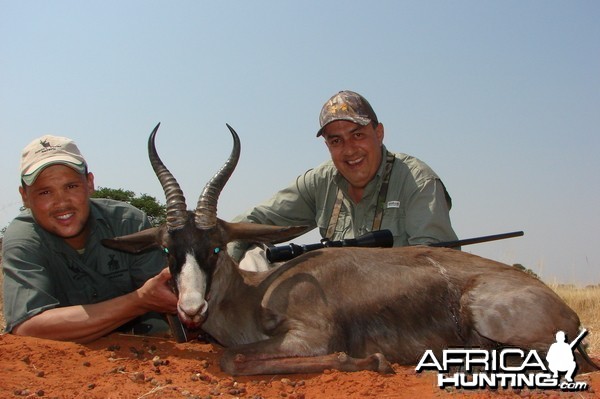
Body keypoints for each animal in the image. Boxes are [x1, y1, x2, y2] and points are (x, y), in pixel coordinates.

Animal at [103, 123, 596, 376]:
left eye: (216, 248)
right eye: (168, 249)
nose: (191, 309)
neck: (258, 292)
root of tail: (567, 312)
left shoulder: (309, 337)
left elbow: (230, 359)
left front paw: (371, 360)